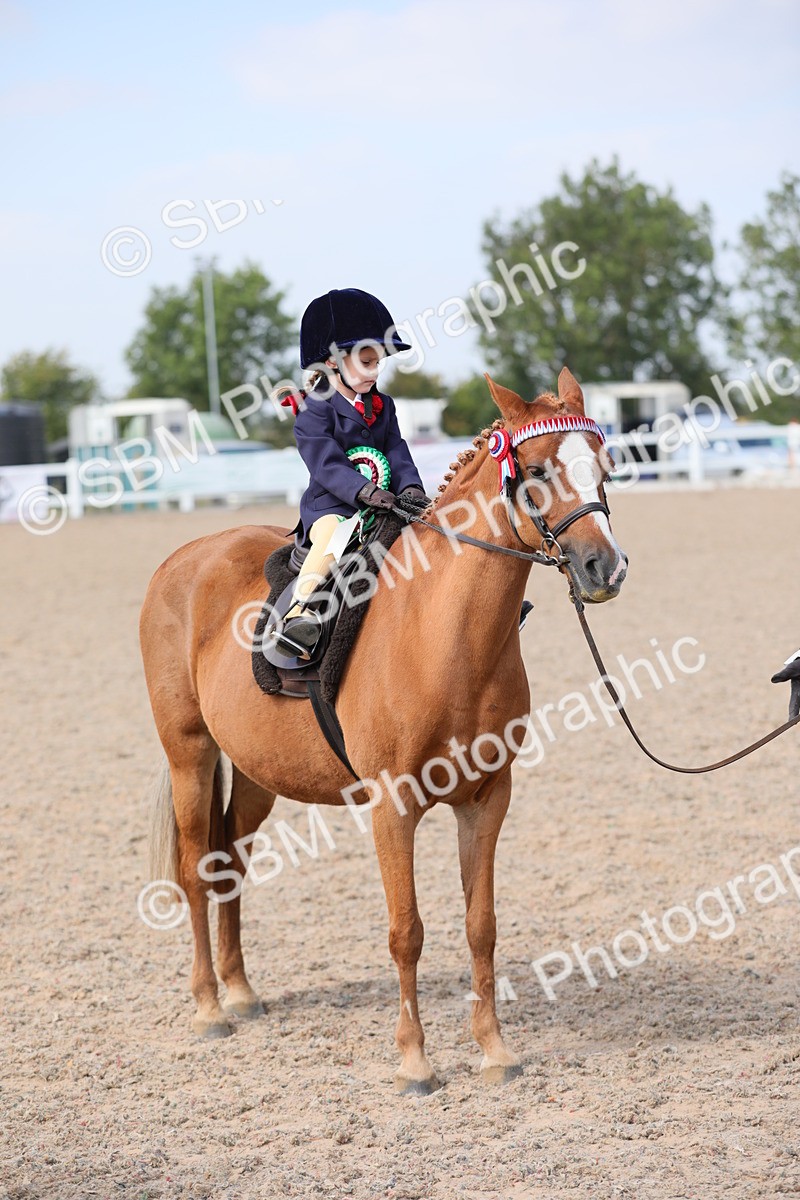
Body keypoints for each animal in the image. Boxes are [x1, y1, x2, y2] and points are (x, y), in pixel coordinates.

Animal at [141, 368, 627, 1093]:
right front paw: (415, 1060)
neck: (442, 633)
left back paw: (242, 991)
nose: (604, 569)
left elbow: (480, 925)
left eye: (606, 466)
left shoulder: (487, 800)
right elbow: (407, 931)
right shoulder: (392, 807)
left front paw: (494, 1049)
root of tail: (186, 558)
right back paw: (208, 1007)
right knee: (198, 866)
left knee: (231, 860)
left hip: (257, 773)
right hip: (189, 756)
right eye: (537, 469)